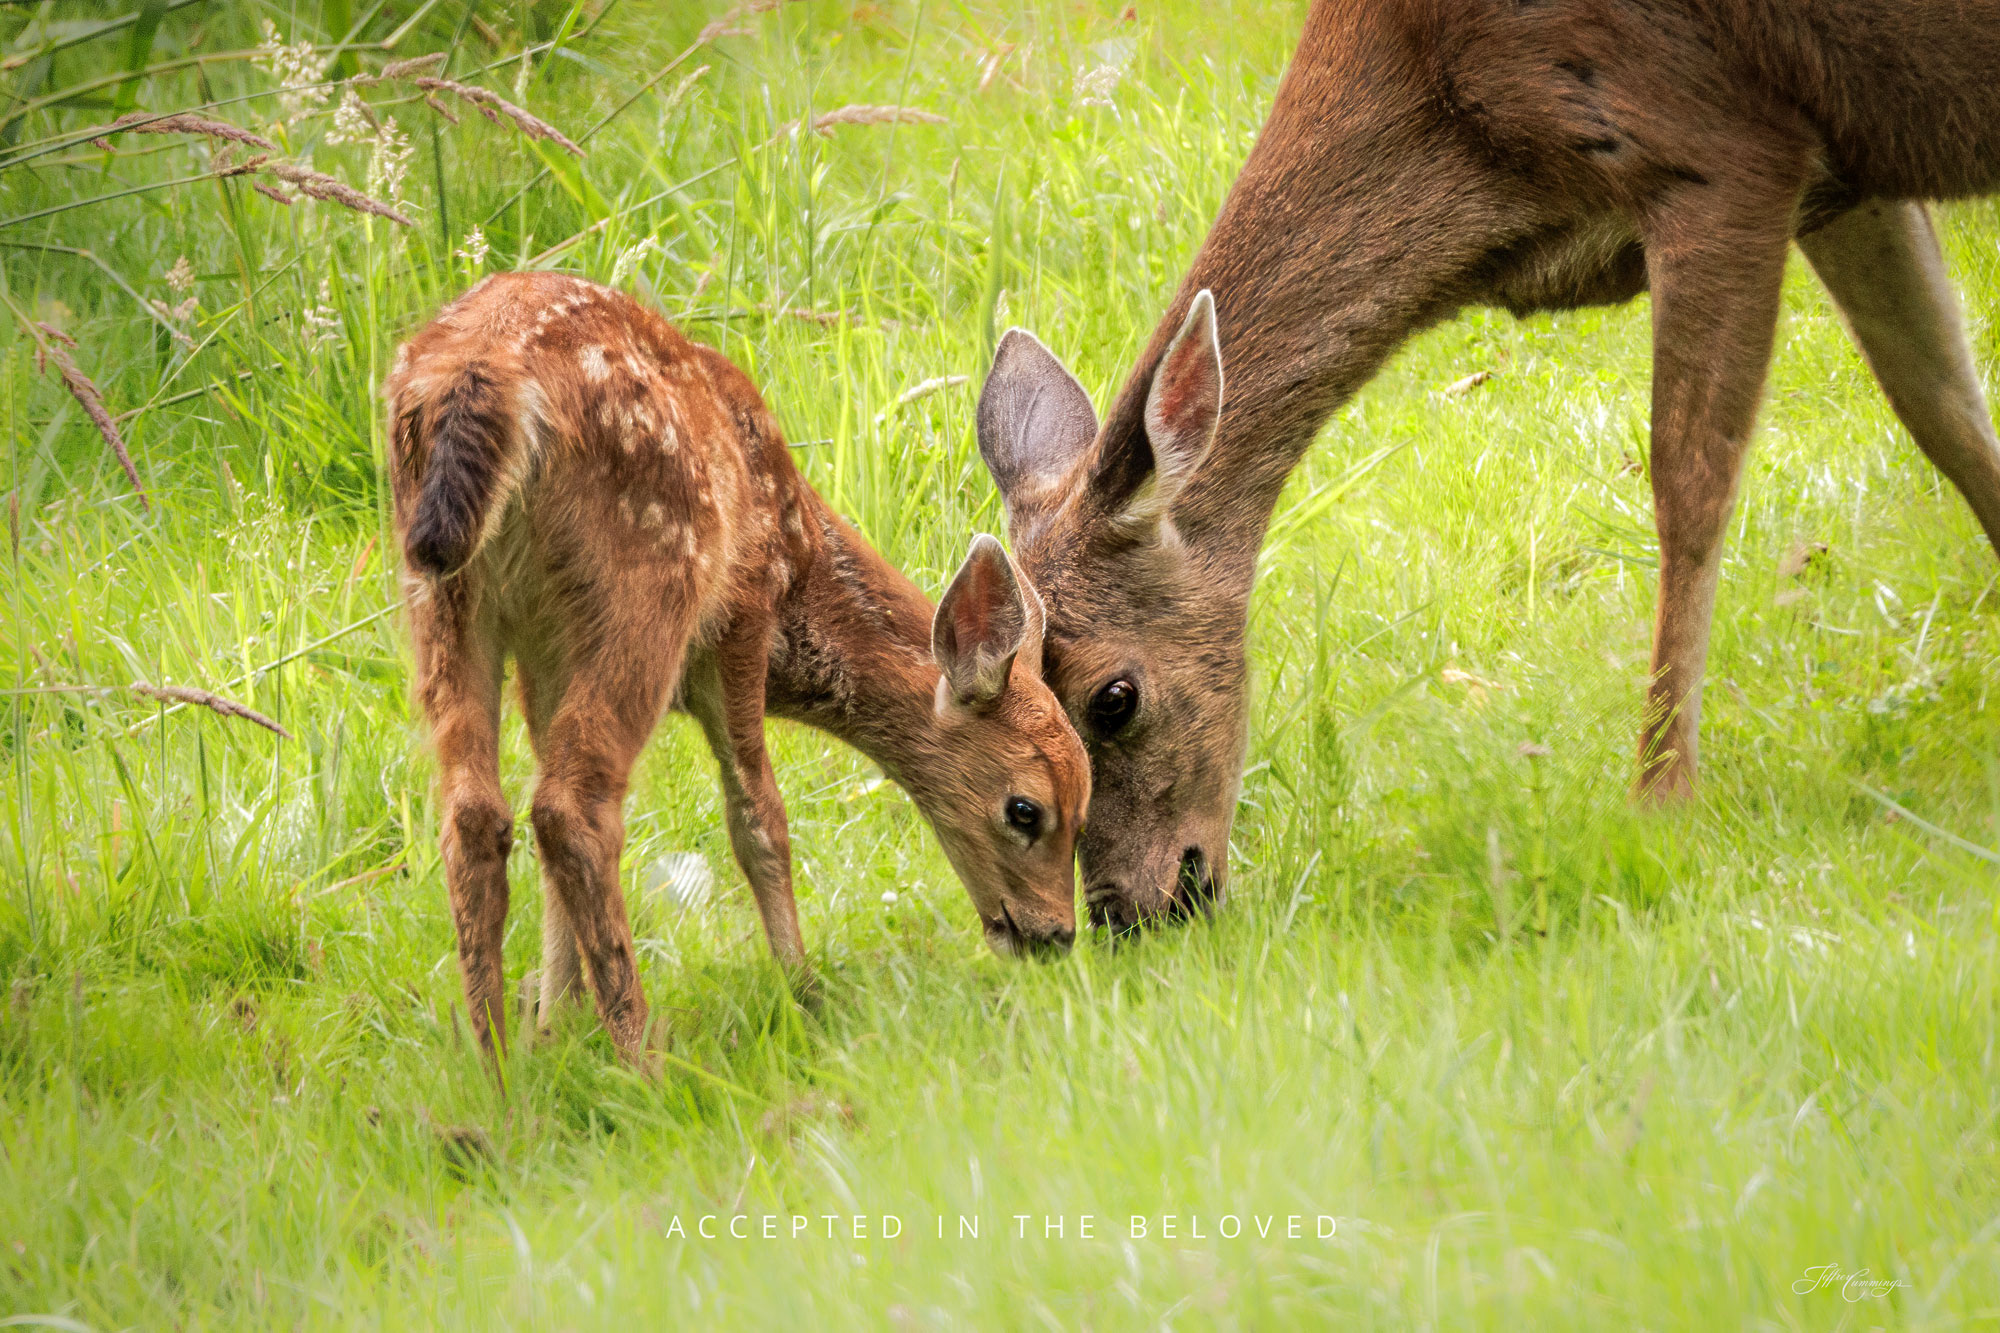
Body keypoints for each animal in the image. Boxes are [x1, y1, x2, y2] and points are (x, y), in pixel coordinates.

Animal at [384, 270, 1088, 1056]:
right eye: (1026, 809)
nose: (1055, 934)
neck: (802, 559)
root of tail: (482, 380)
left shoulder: (547, 646)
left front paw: (554, 1018)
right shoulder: (744, 612)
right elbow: (759, 817)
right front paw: (804, 993)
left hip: (442, 593)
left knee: (476, 812)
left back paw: (498, 1061)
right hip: (653, 574)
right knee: (572, 806)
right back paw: (641, 1051)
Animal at [976, 0, 2000, 924]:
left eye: (1112, 698)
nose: (1132, 910)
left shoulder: (1719, 148)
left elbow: (1690, 483)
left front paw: (1660, 801)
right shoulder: (1851, 168)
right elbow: (1945, 407)